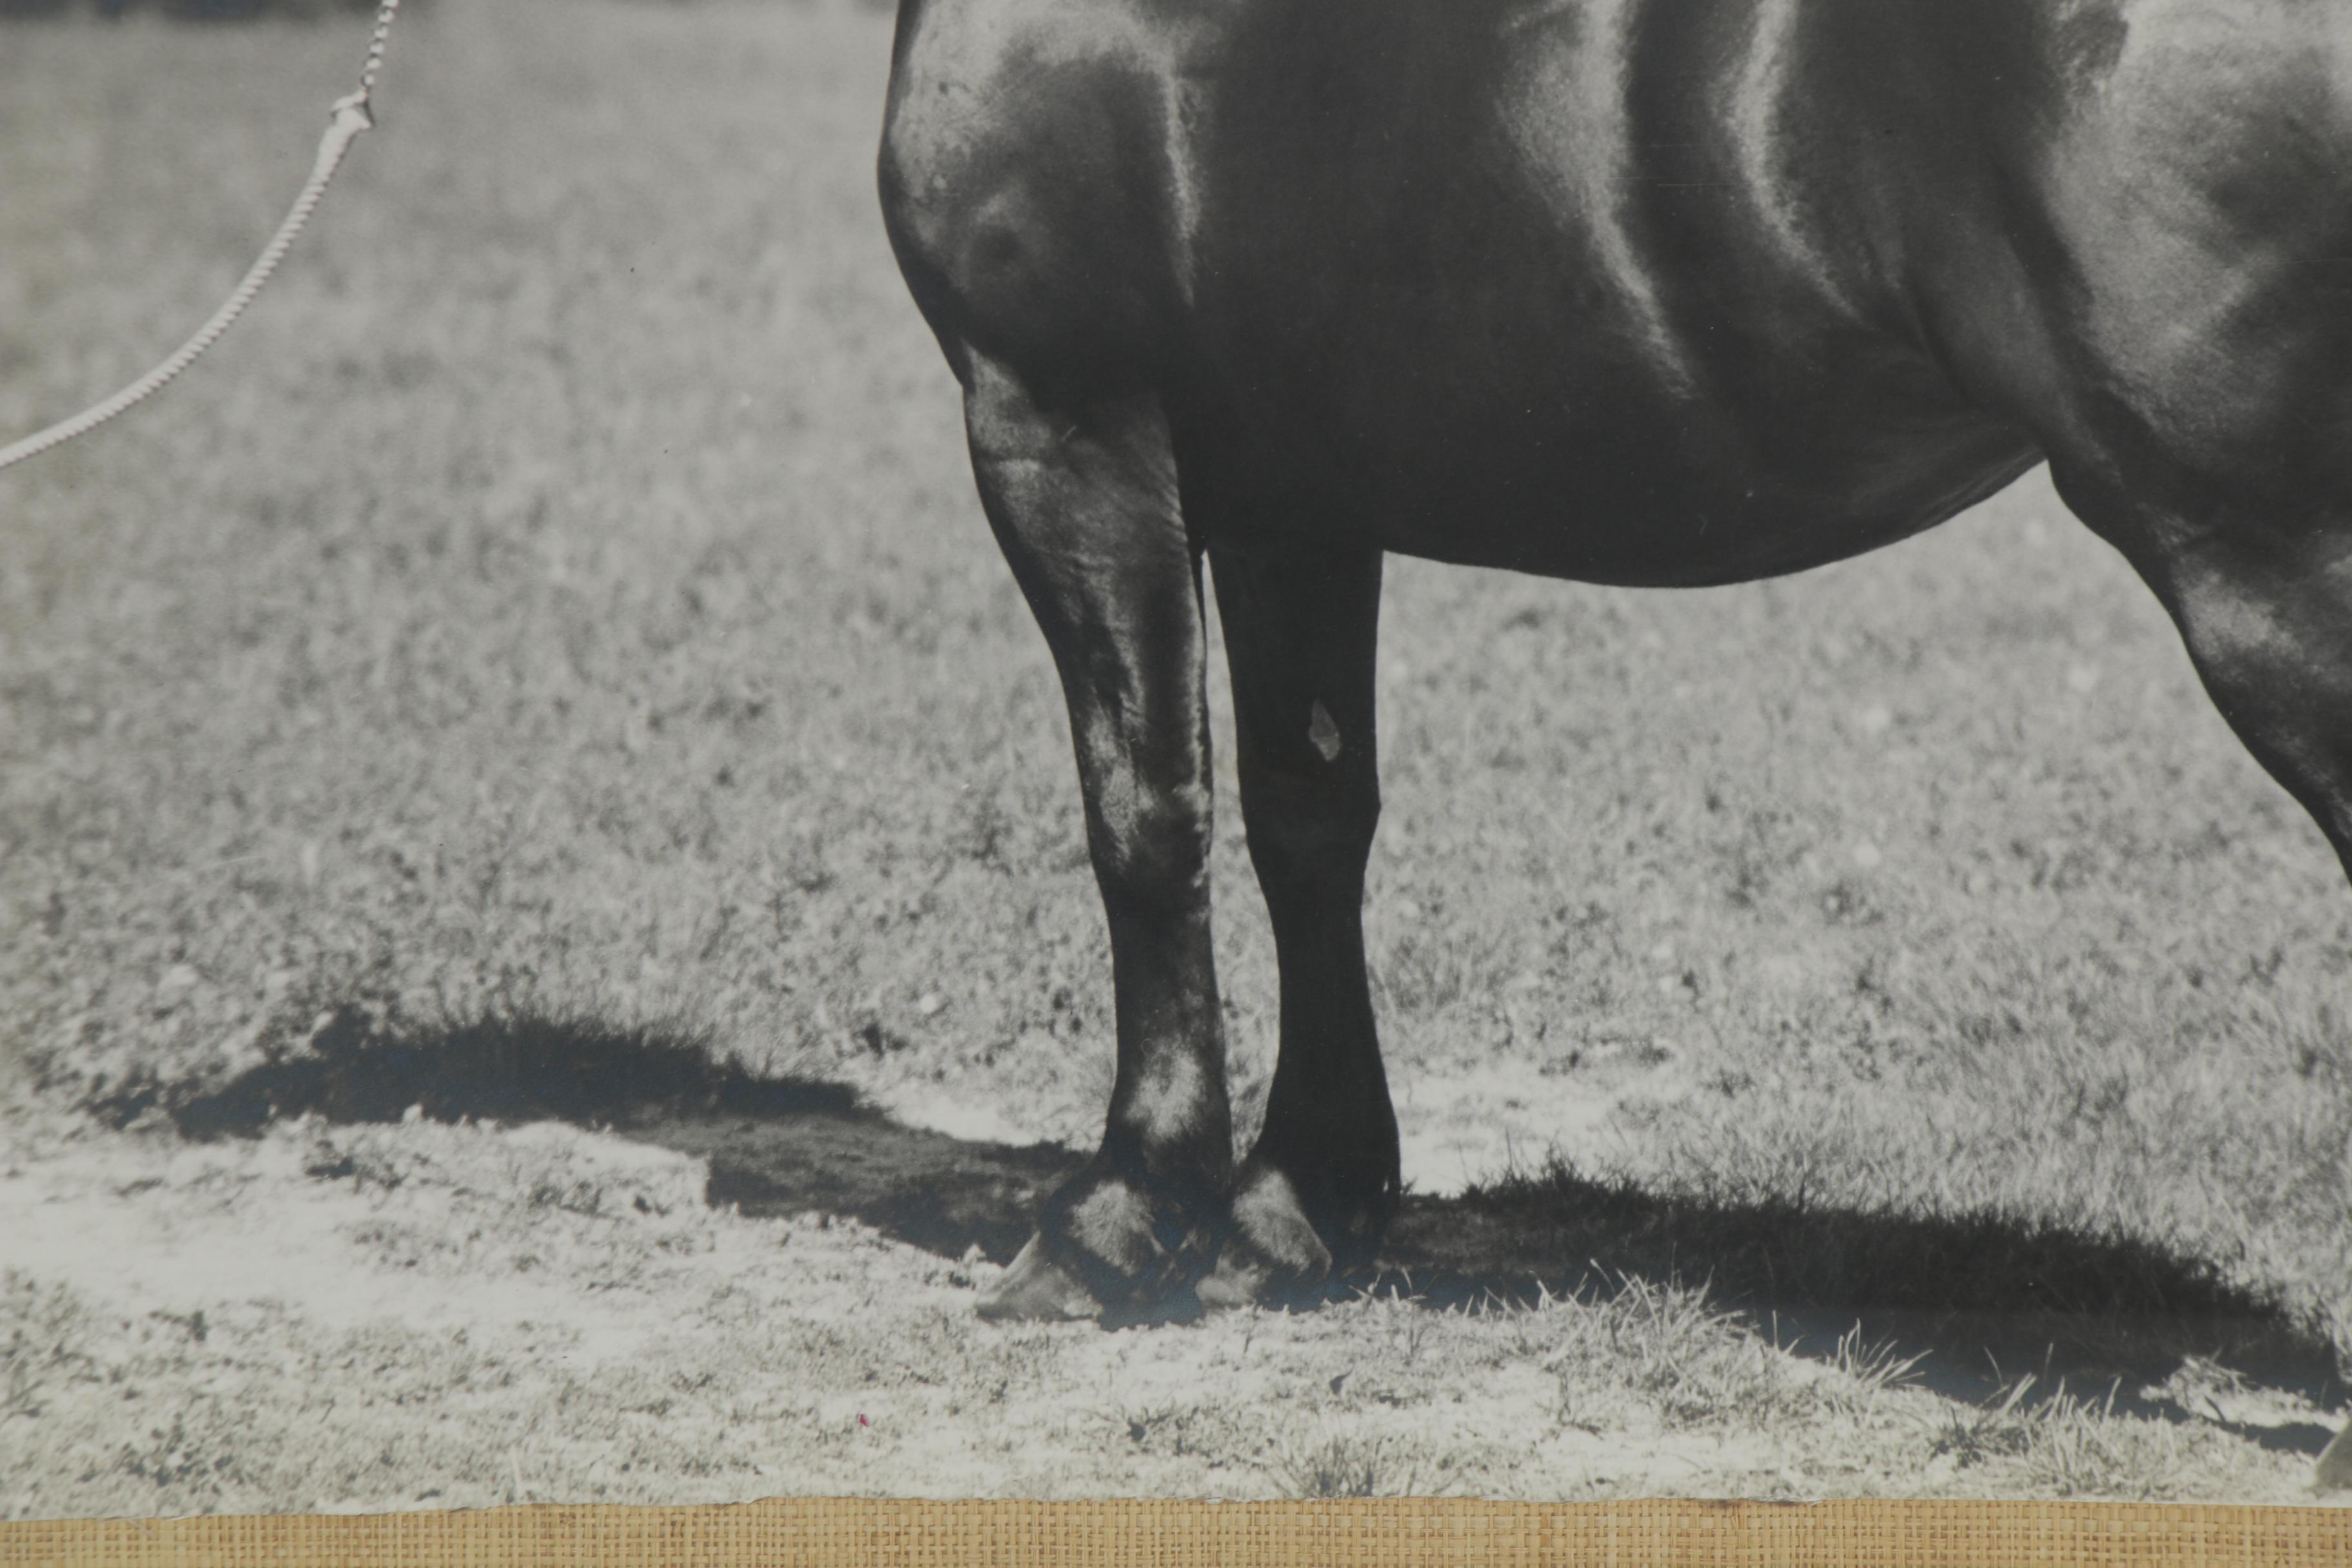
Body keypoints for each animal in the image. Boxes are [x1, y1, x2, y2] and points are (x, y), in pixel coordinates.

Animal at [875, 0, 2352, 1323]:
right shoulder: (1287, 498)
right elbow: (1306, 820)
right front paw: (1298, 1204)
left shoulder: (1065, 430)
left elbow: (1140, 815)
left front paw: (1117, 1216)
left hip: (2254, 563)